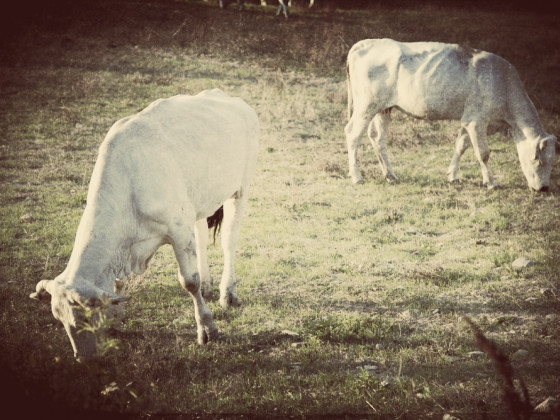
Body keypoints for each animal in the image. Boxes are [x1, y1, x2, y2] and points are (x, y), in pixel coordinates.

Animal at [29, 89, 260, 360]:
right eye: (60, 320)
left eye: (83, 320)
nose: (83, 358)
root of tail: (227, 97)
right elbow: (118, 284)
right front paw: (116, 320)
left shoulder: (178, 231)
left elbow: (189, 282)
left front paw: (207, 328)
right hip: (199, 202)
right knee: (203, 239)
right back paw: (208, 284)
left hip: (240, 189)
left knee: (229, 242)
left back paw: (228, 293)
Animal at [346, 37, 556, 192]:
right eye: (537, 160)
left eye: (552, 161)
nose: (544, 188)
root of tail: (364, 43)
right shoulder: (477, 120)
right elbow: (483, 153)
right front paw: (491, 182)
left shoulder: (469, 119)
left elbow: (460, 146)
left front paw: (452, 176)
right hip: (366, 105)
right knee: (352, 134)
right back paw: (357, 177)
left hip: (383, 108)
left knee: (377, 137)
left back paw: (390, 175)